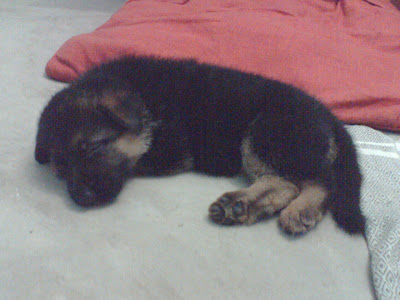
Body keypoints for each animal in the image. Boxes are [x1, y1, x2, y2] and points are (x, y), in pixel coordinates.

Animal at [35, 55, 366, 234]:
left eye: (93, 147)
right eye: (60, 172)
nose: (81, 199)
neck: (142, 98)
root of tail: (328, 117)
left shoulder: (170, 150)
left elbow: (135, 163)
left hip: (267, 133)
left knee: (318, 181)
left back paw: (300, 209)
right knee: (285, 183)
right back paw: (240, 206)